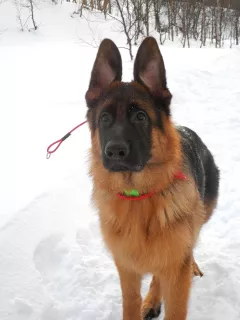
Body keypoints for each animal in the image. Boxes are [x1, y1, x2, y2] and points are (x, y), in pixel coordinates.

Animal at [85, 37, 220, 320]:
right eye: (104, 118)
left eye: (141, 117)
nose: (114, 152)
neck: (138, 196)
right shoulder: (126, 270)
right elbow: (130, 304)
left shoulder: (175, 272)